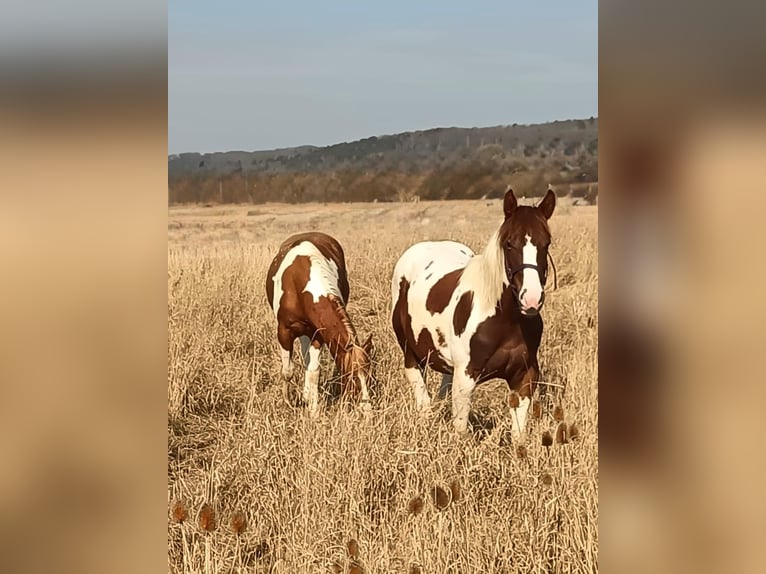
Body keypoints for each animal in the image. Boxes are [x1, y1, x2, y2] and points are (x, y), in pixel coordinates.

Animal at [266, 232, 374, 414]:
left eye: (368, 374)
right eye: (350, 376)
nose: (366, 410)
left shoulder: (317, 334)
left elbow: (314, 370)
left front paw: (313, 409)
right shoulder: (284, 331)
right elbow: (287, 371)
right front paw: (287, 403)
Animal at [391, 187, 556, 437]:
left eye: (546, 243)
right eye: (509, 243)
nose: (531, 299)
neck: (505, 320)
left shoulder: (524, 377)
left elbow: (518, 435)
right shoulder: (466, 378)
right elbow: (460, 428)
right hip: (412, 355)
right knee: (423, 400)